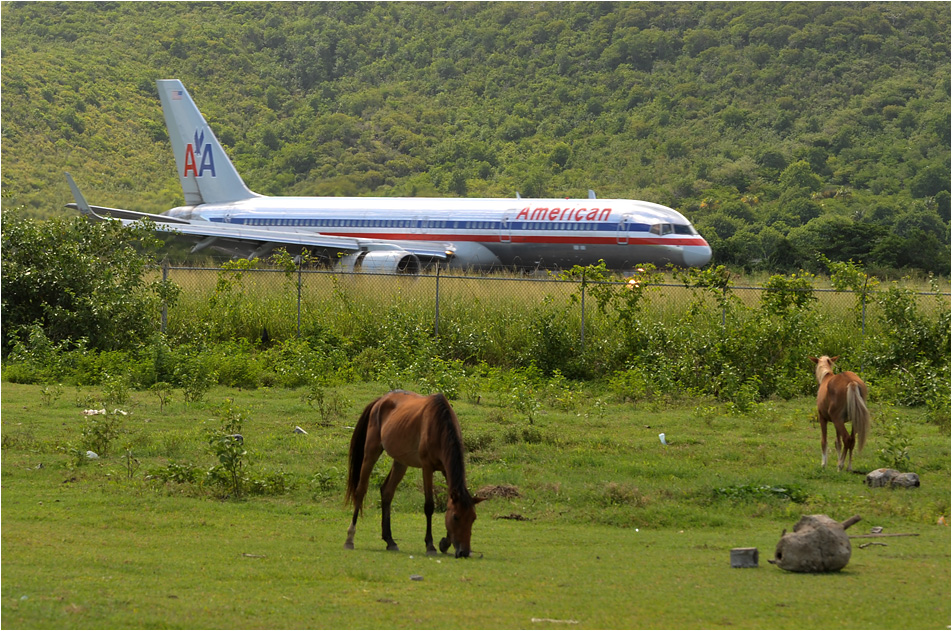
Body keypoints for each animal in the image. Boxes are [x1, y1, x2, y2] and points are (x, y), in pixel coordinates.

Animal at [342, 390, 484, 556]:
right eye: (456, 517)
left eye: (473, 518)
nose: (464, 552)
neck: (439, 425)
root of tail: (381, 400)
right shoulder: (427, 467)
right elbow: (429, 506)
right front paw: (430, 545)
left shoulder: (445, 469)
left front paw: (445, 543)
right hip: (371, 452)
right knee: (360, 491)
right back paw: (350, 539)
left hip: (400, 462)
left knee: (387, 492)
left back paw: (390, 541)